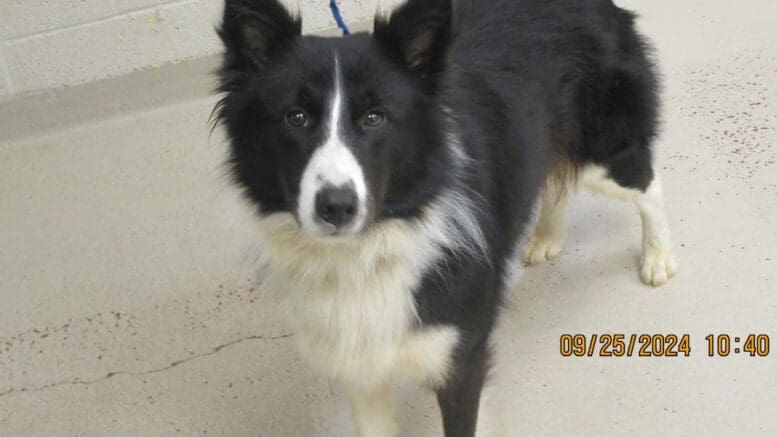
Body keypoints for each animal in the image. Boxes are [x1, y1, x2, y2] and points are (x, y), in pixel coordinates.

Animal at [215, 0, 676, 432]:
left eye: (375, 117)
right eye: (296, 117)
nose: (336, 207)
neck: (368, 251)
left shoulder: (461, 357)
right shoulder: (362, 368)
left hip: (605, 146)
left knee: (647, 183)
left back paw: (658, 259)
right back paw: (547, 237)